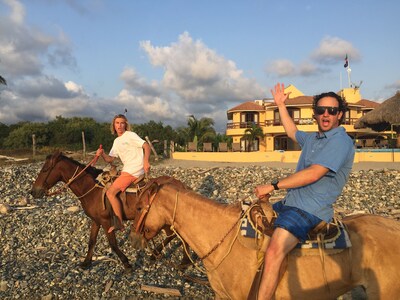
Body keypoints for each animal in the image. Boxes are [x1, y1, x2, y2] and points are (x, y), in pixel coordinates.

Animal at [30, 152, 186, 272]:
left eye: (45, 169)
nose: (33, 192)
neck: (91, 188)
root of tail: (180, 186)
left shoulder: (106, 222)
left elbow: (113, 244)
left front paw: (126, 264)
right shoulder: (96, 220)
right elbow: (91, 241)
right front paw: (86, 262)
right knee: (174, 235)